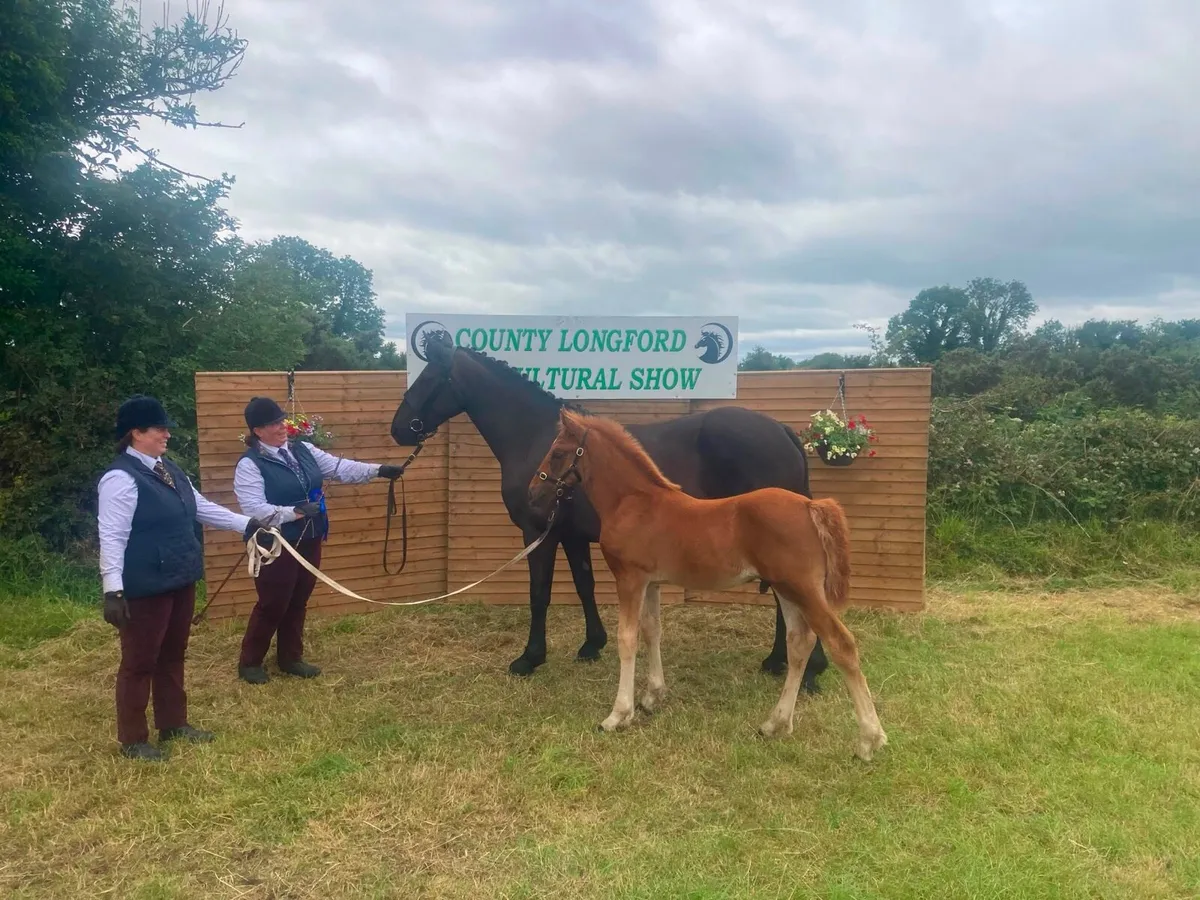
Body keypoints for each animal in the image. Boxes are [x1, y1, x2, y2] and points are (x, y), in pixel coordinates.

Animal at [390, 330, 828, 689]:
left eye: (427, 378)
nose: (398, 428)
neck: (538, 438)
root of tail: (782, 431)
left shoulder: (538, 533)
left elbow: (539, 593)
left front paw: (529, 658)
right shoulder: (571, 535)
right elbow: (584, 585)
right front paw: (591, 645)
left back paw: (804, 670)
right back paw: (781, 662)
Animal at [528, 407, 888, 761]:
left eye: (557, 453)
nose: (533, 491)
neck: (634, 502)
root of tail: (810, 506)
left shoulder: (630, 578)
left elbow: (627, 639)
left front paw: (618, 715)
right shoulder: (651, 582)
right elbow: (652, 630)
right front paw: (652, 696)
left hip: (803, 589)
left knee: (841, 644)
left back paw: (869, 740)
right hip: (787, 588)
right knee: (799, 642)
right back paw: (775, 724)